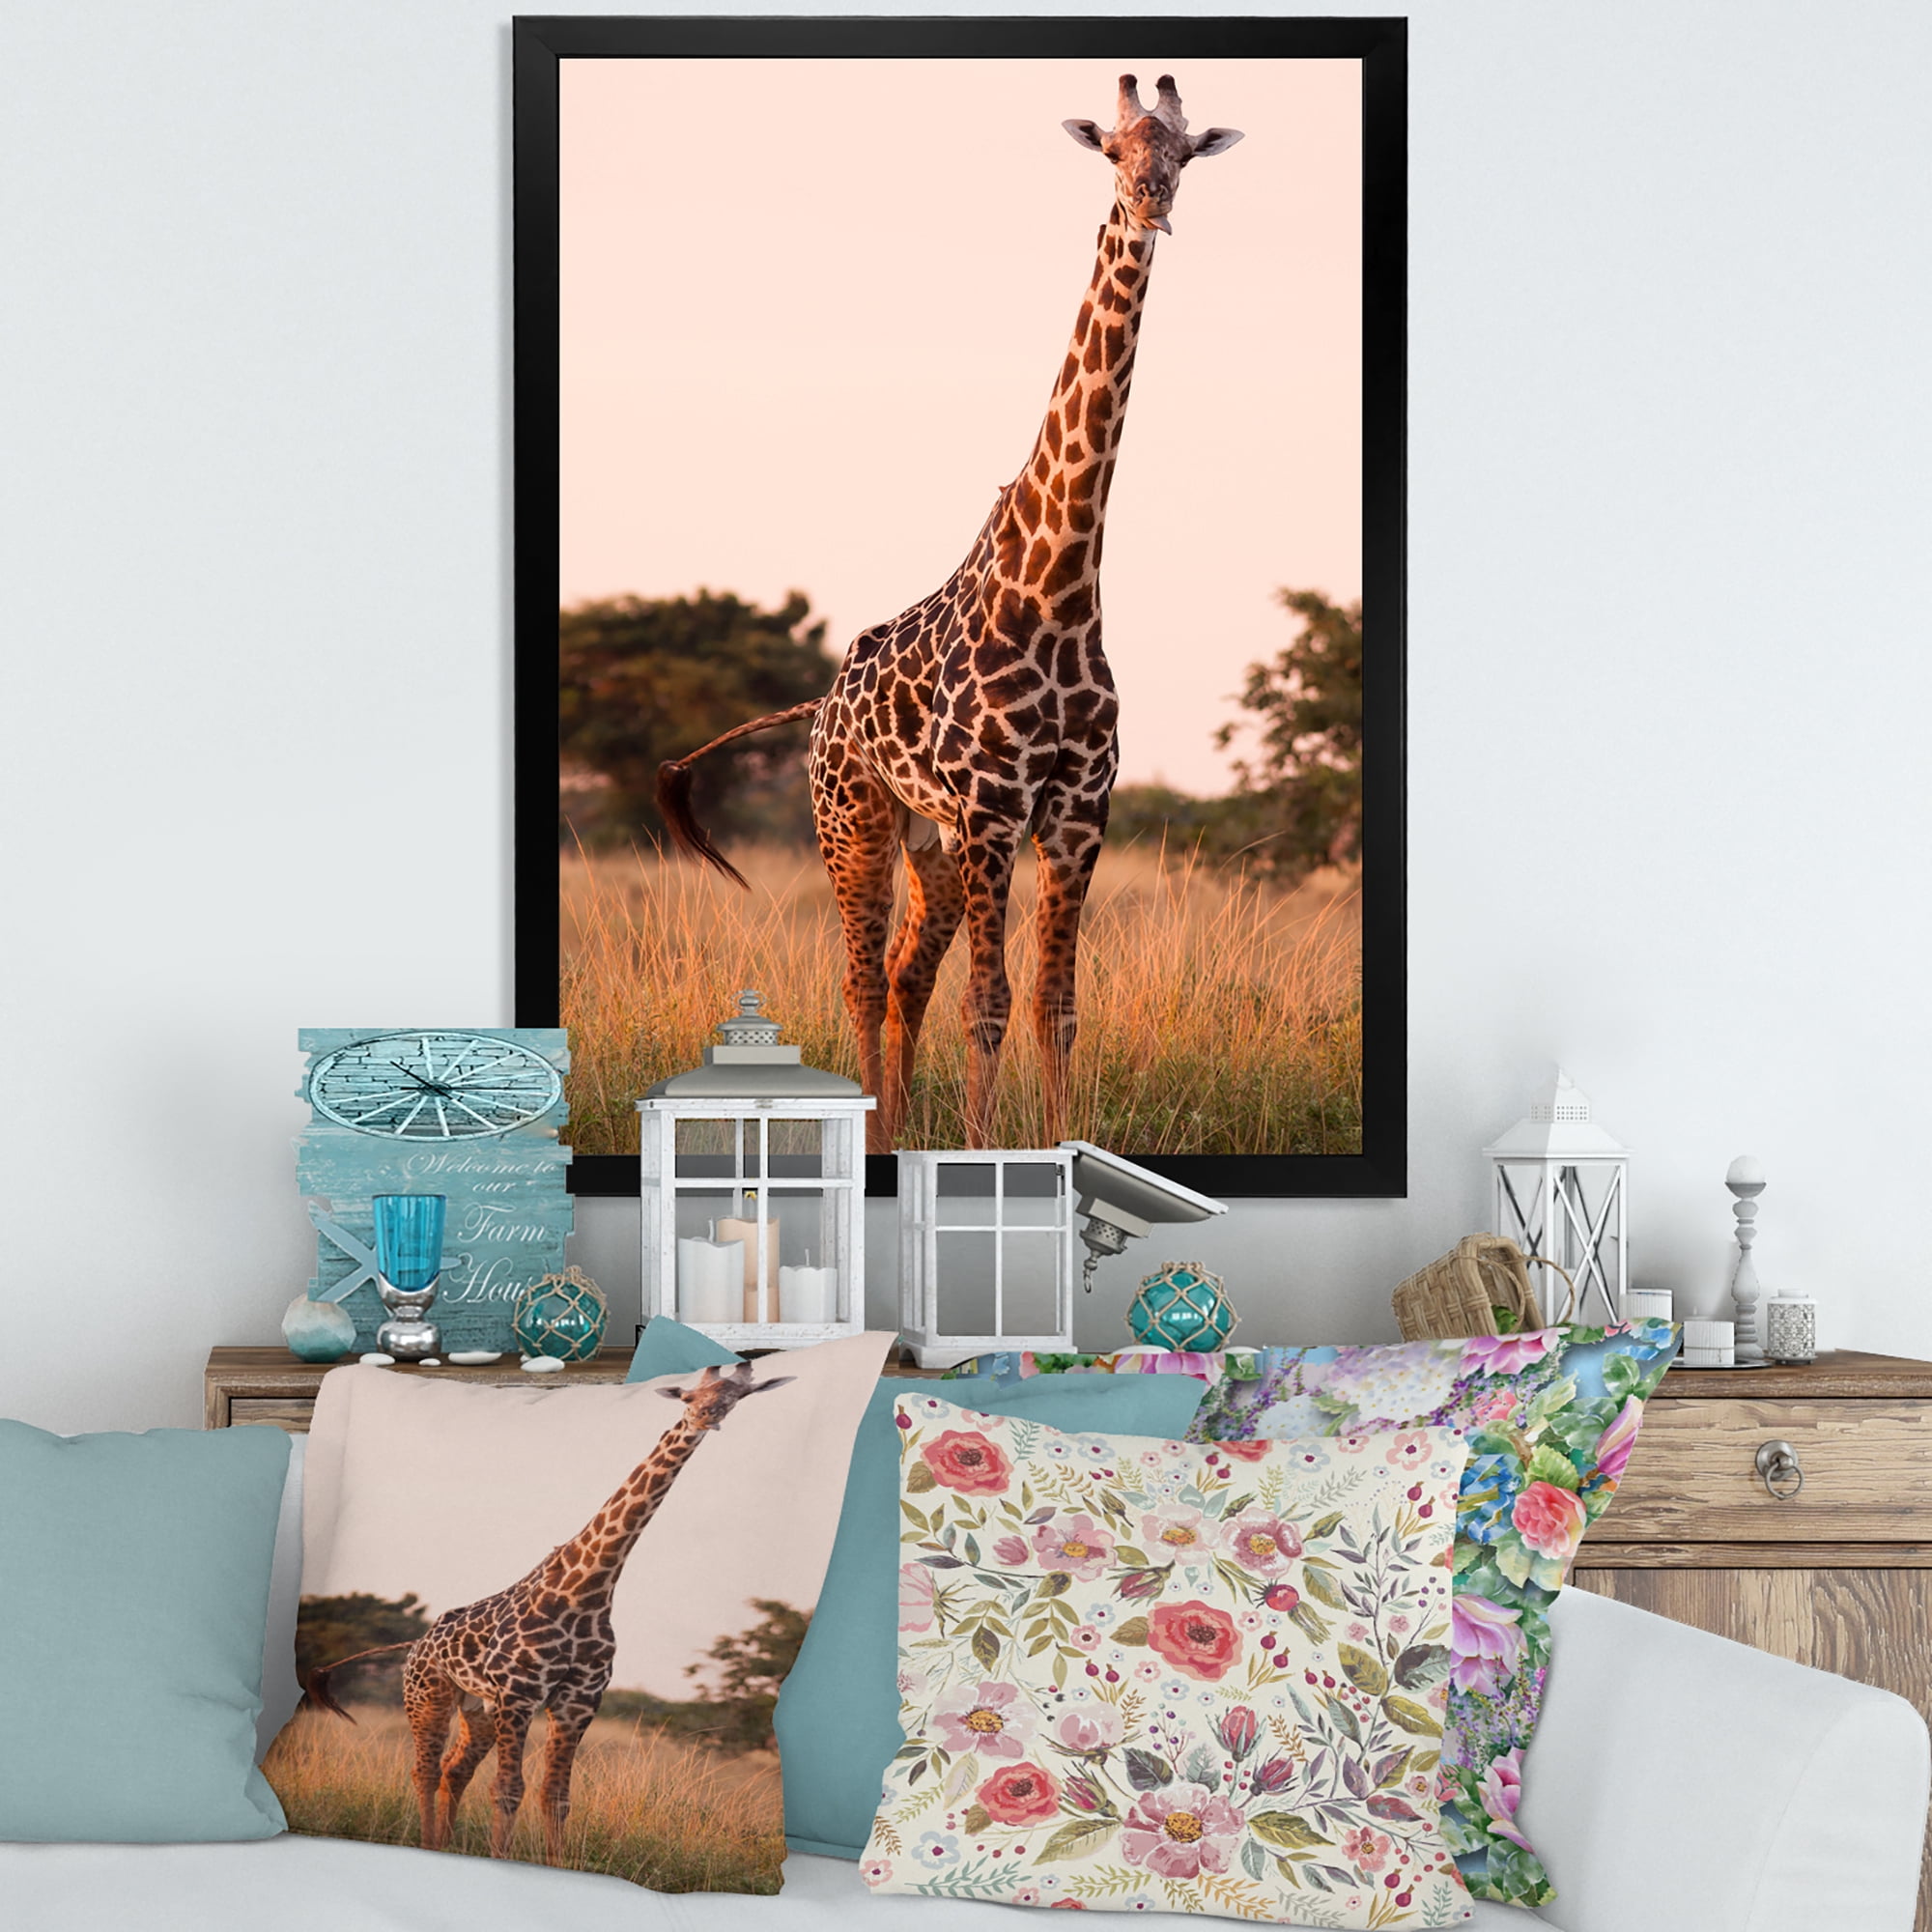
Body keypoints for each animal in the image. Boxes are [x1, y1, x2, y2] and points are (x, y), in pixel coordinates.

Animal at [302, 1361, 793, 1863]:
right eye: (689, 1397)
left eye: (734, 1397)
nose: (704, 1418)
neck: (589, 1589)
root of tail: (415, 1644)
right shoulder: (520, 1694)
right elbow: (508, 1789)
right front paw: (502, 1859)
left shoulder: (577, 1701)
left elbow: (555, 1795)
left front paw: (556, 1863)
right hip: (428, 1696)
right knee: (425, 1769)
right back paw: (428, 1844)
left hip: (478, 1711)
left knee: (454, 1770)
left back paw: (447, 1845)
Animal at [657, 75, 1242, 1154]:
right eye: (1113, 152)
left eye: (1183, 153)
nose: (1151, 203)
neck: (1059, 589)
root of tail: (818, 709)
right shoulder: (993, 810)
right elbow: (991, 1002)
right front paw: (978, 1149)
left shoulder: (1075, 814)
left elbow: (1055, 1004)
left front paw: (1057, 1141)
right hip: (854, 822)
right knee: (859, 978)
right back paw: (874, 1137)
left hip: (927, 844)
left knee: (902, 977)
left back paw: (892, 1128)